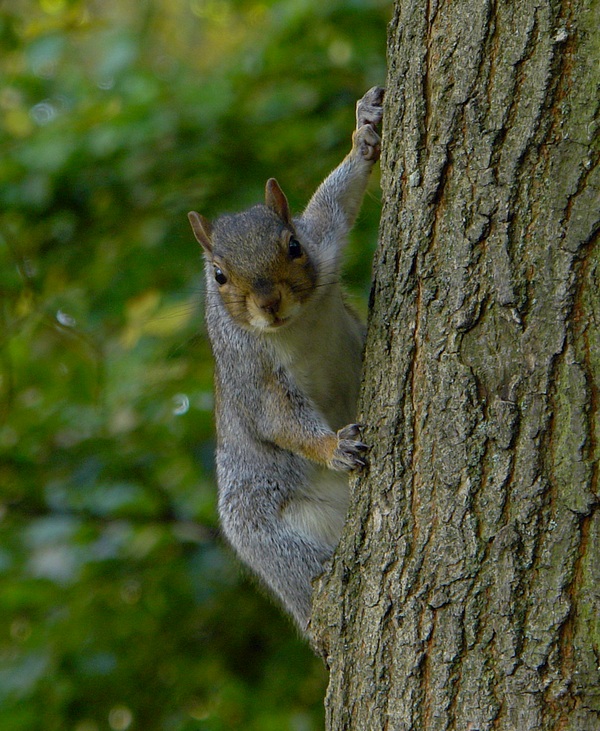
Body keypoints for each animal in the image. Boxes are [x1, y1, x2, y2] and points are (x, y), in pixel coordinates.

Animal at [188, 87, 384, 636]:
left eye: (293, 244)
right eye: (219, 275)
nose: (268, 303)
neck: (296, 325)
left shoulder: (325, 240)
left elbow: (336, 201)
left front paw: (363, 133)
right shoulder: (250, 372)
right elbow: (280, 420)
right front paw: (333, 447)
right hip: (269, 535)